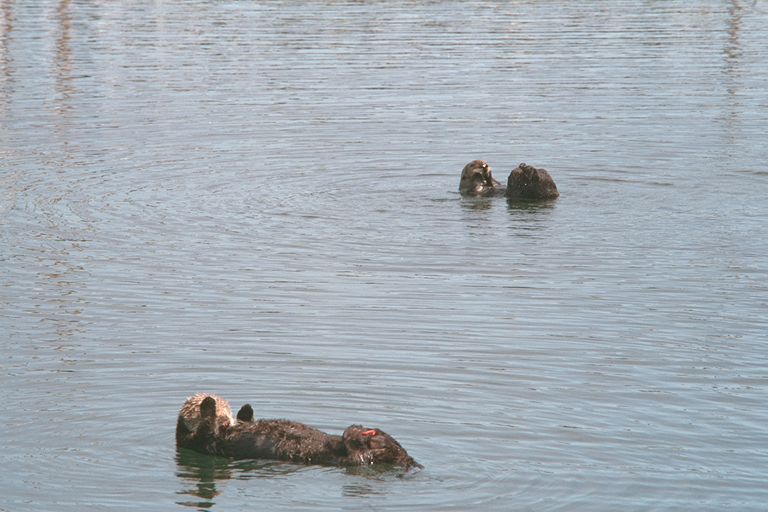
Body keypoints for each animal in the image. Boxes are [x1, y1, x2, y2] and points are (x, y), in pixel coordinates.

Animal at [184, 397, 421, 470]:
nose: (225, 416)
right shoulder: (203, 443)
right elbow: (205, 429)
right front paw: (208, 405)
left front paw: (246, 411)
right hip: (352, 459)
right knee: (359, 456)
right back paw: (358, 433)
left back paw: (370, 432)